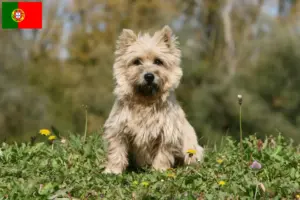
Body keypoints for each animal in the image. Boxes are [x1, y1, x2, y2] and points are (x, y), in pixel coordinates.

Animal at [103, 25, 204, 174]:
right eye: (136, 61)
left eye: (158, 61)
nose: (149, 76)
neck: (145, 101)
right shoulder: (118, 130)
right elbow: (116, 151)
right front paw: (112, 170)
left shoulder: (167, 133)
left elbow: (163, 154)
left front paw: (159, 170)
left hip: (191, 149)